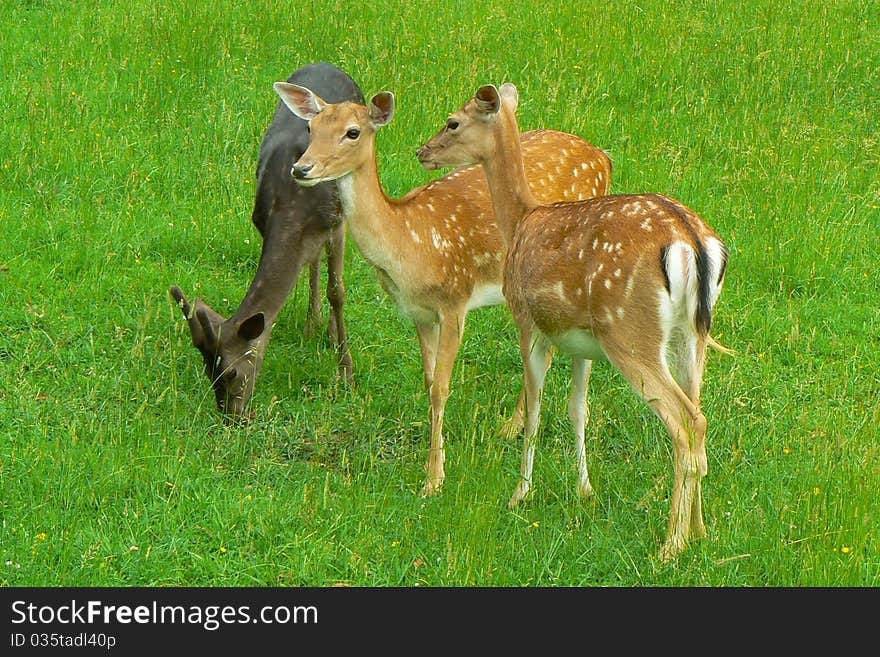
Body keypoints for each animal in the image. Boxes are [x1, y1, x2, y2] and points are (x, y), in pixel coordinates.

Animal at [167, 64, 362, 418]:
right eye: (208, 371)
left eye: (231, 372)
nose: (232, 417)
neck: (292, 209)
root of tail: (326, 64)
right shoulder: (261, 222)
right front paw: (314, 327)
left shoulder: (336, 220)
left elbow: (337, 291)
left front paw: (346, 373)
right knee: (313, 262)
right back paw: (312, 324)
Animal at [276, 79, 612, 494]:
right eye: (310, 128)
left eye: (352, 132)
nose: (301, 168)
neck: (410, 243)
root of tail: (604, 158)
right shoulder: (419, 314)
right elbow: (428, 380)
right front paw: (434, 462)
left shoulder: (455, 300)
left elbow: (442, 387)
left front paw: (434, 478)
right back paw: (512, 427)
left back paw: (511, 428)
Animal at [418, 82, 728, 560]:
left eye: (453, 121)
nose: (423, 151)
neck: (520, 222)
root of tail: (689, 241)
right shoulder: (583, 345)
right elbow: (577, 409)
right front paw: (584, 490)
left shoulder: (528, 322)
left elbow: (534, 410)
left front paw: (520, 493)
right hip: (691, 337)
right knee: (701, 418)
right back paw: (698, 531)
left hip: (629, 331)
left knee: (685, 423)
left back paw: (670, 546)